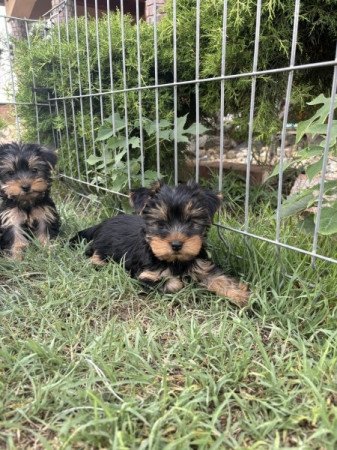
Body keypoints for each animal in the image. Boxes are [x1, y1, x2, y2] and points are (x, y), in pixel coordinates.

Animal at [71, 182, 249, 306]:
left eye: (191, 222)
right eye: (161, 223)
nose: (176, 244)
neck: (176, 261)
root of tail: (102, 224)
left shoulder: (201, 265)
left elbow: (218, 277)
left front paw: (240, 295)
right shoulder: (146, 276)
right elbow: (173, 283)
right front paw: (185, 283)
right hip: (103, 248)